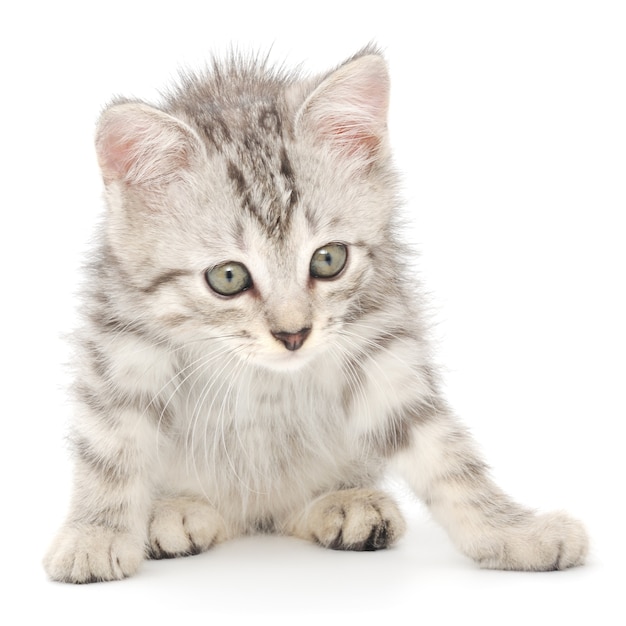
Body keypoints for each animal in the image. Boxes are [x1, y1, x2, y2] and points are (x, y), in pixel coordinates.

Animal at [42, 47, 584, 580]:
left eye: (328, 259)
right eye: (228, 277)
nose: (293, 334)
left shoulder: (379, 336)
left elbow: (442, 451)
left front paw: (511, 531)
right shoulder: (125, 340)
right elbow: (111, 445)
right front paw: (94, 534)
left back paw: (344, 503)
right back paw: (176, 511)